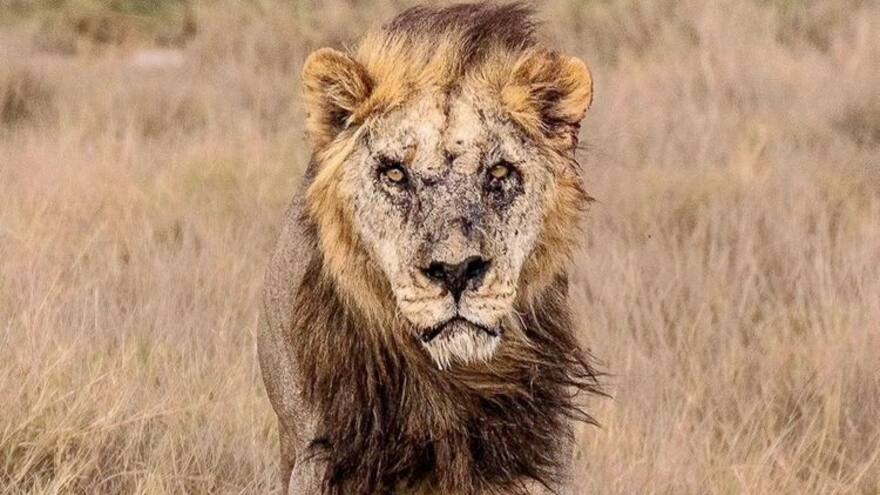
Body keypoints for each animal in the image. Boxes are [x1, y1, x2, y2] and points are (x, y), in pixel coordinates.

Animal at [258, 3, 602, 494]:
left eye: (499, 172)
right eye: (395, 173)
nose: (456, 270)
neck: (451, 383)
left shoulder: (536, 451)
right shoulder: (322, 451)